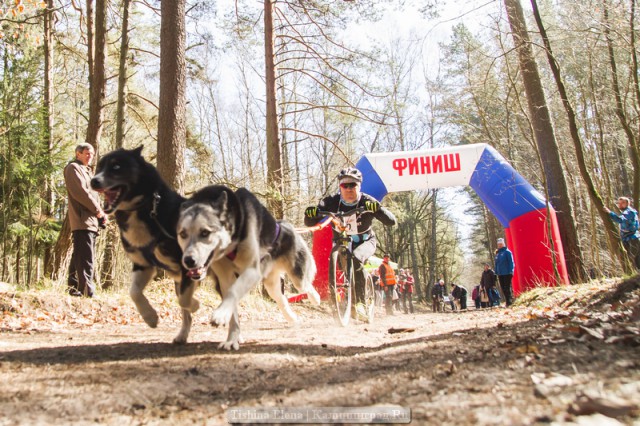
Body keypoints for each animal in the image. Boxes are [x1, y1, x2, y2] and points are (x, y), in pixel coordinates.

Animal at [89, 146, 200, 342]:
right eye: (99, 167)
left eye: (116, 166)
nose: (93, 181)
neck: (144, 208)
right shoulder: (143, 265)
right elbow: (134, 292)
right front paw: (150, 316)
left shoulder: (188, 268)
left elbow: (185, 301)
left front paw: (195, 304)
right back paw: (182, 336)